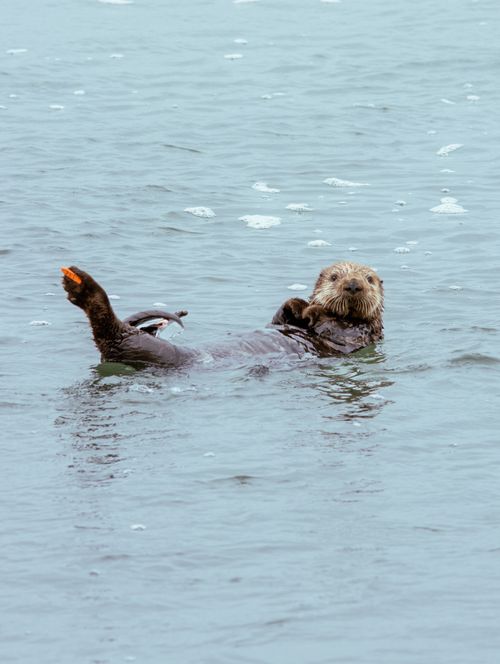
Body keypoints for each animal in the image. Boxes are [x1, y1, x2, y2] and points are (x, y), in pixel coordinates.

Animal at [60, 262, 383, 368]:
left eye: (368, 279)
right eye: (335, 276)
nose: (353, 285)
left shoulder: (356, 334)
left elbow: (331, 327)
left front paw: (312, 309)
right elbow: (280, 317)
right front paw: (297, 304)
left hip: (146, 349)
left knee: (112, 334)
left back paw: (82, 287)